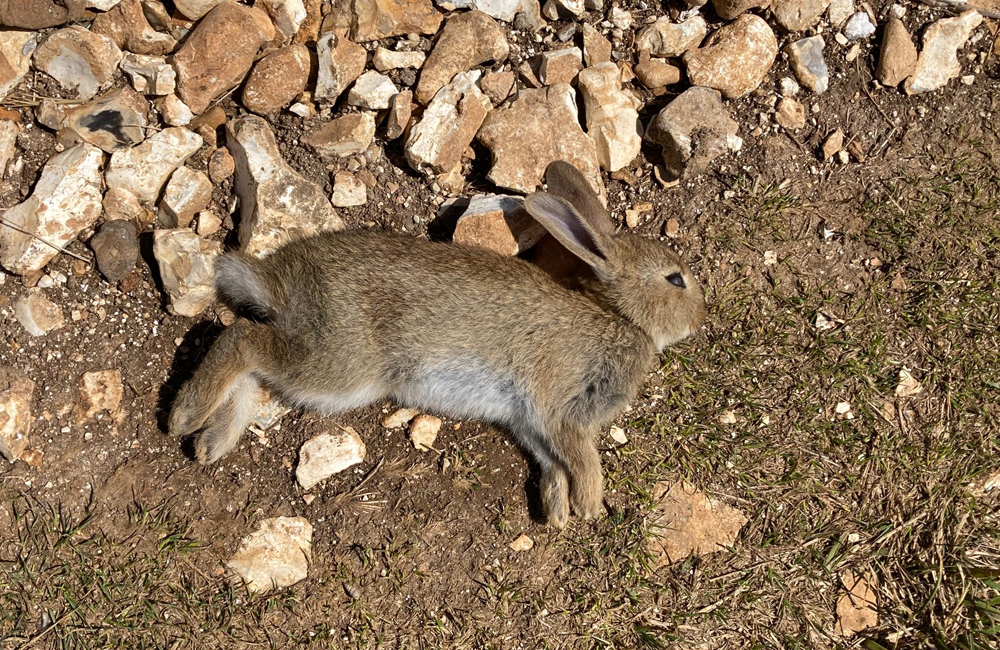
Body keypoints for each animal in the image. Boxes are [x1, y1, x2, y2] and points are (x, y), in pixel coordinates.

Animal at [168, 160, 706, 528]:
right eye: (675, 279)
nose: (700, 319)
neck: (619, 318)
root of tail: (278, 282)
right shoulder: (559, 403)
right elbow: (579, 455)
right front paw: (590, 505)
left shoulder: (531, 420)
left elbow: (552, 462)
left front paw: (557, 512)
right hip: (342, 364)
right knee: (242, 338)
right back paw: (184, 417)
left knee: (251, 358)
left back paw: (210, 444)